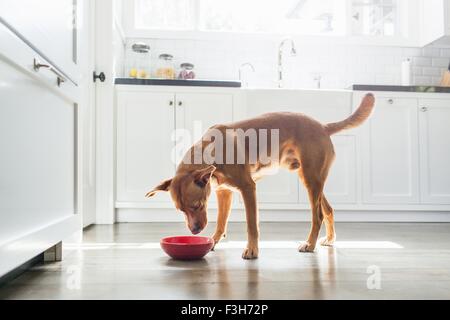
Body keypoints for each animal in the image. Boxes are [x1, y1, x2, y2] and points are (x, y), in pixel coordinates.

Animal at [146, 94, 374, 258]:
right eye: (181, 210)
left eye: (197, 205)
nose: (194, 232)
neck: (213, 149)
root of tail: (323, 126)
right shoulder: (223, 192)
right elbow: (221, 222)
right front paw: (213, 241)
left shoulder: (248, 188)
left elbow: (251, 224)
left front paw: (252, 250)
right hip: (311, 179)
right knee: (328, 209)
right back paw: (329, 239)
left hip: (311, 180)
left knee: (317, 215)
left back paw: (310, 244)